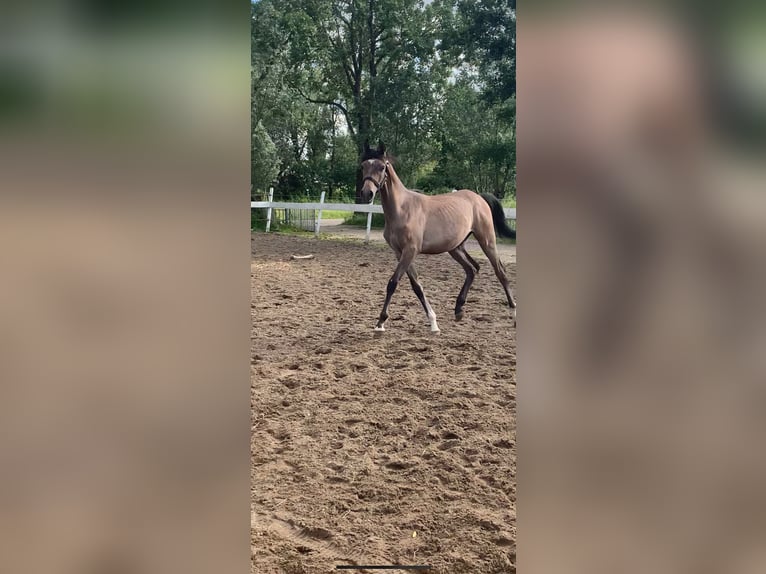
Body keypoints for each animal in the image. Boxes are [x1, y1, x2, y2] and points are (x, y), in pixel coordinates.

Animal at [358, 140, 516, 336]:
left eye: (381, 167)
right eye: (363, 166)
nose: (367, 194)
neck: (402, 209)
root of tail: (479, 198)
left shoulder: (410, 250)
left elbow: (393, 283)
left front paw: (380, 323)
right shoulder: (399, 252)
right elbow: (417, 286)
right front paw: (433, 322)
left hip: (486, 241)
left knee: (500, 272)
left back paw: (513, 313)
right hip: (455, 247)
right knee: (472, 269)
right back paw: (458, 310)